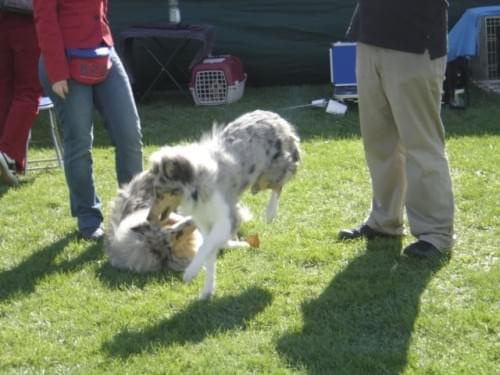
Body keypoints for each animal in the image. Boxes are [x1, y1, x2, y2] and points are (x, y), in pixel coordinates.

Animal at [146, 109, 298, 300]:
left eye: (159, 193)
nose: (147, 218)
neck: (198, 186)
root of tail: (275, 116)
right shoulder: (205, 222)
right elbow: (209, 255)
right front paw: (207, 290)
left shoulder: (227, 219)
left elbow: (205, 246)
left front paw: (190, 273)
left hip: (268, 175)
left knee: (279, 185)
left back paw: (270, 213)